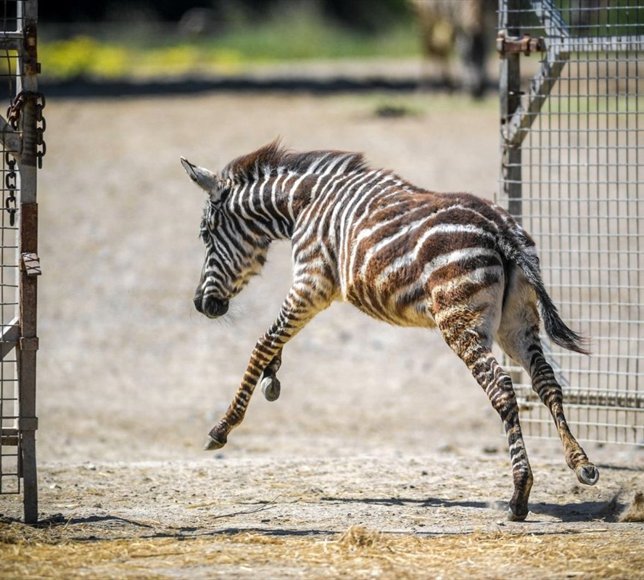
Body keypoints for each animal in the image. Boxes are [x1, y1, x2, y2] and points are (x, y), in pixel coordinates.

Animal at [180, 141, 599, 521]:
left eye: (206, 234)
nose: (202, 304)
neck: (302, 204)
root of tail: (502, 229)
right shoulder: (310, 289)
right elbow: (276, 340)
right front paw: (273, 377)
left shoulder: (311, 283)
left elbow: (263, 342)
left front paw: (223, 426)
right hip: (516, 323)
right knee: (547, 383)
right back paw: (580, 463)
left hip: (460, 321)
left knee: (502, 390)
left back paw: (519, 495)